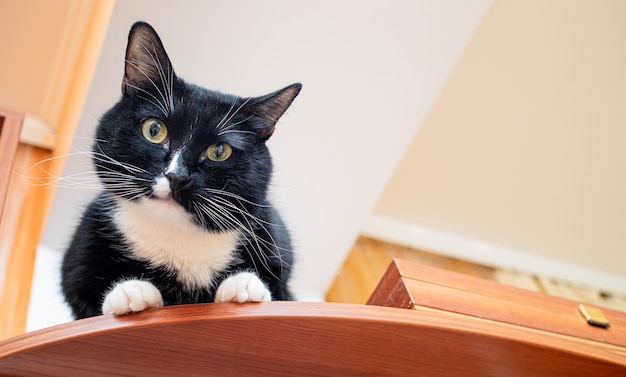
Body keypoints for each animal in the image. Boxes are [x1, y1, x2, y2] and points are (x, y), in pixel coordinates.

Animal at [61, 21, 300, 318]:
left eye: (219, 151)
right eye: (154, 129)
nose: (176, 176)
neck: (176, 236)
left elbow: (280, 292)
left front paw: (244, 285)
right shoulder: (78, 258)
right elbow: (84, 299)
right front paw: (130, 291)